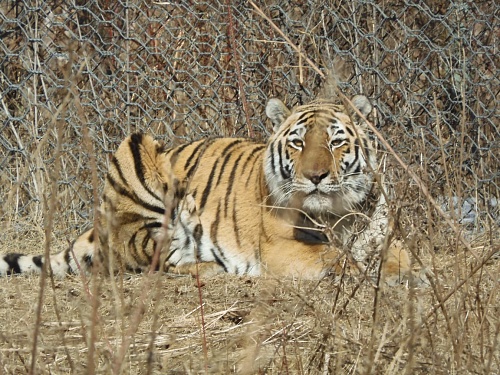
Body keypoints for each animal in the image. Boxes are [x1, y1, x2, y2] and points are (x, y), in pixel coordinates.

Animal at [1, 95, 412, 284]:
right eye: (298, 143)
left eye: (335, 142)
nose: (315, 176)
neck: (339, 212)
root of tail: (99, 223)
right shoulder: (280, 247)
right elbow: (334, 257)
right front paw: (361, 272)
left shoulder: (385, 234)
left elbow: (403, 257)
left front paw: (408, 273)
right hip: (136, 151)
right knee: (157, 260)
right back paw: (215, 268)